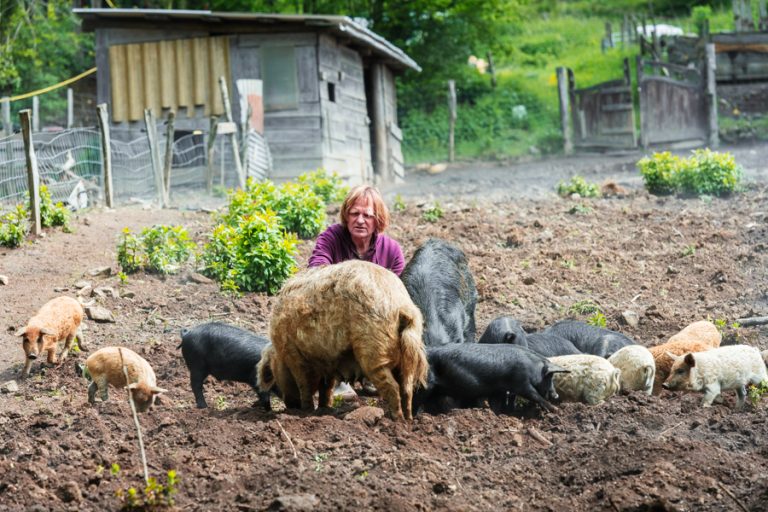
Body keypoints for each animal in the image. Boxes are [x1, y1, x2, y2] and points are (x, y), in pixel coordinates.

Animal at [264, 260, 428, 420]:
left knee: (392, 387)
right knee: (407, 388)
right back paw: (408, 420)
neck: (281, 355)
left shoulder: (294, 356)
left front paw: (307, 411)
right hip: (406, 356)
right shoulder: (327, 361)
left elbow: (304, 385)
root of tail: (401, 307)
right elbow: (326, 387)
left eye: (275, 375)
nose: (290, 405)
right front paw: (324, 409)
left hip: (373, 349)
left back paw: (396, 420)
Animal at [412, 342, 568, 414]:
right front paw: (556, 410)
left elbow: (496, 404)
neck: (532, 368)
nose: (556, 395)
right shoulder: (520, 382)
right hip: (425, 385)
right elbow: (534, 394)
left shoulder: (498, 390)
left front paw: (498, 415)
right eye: (549, 376)